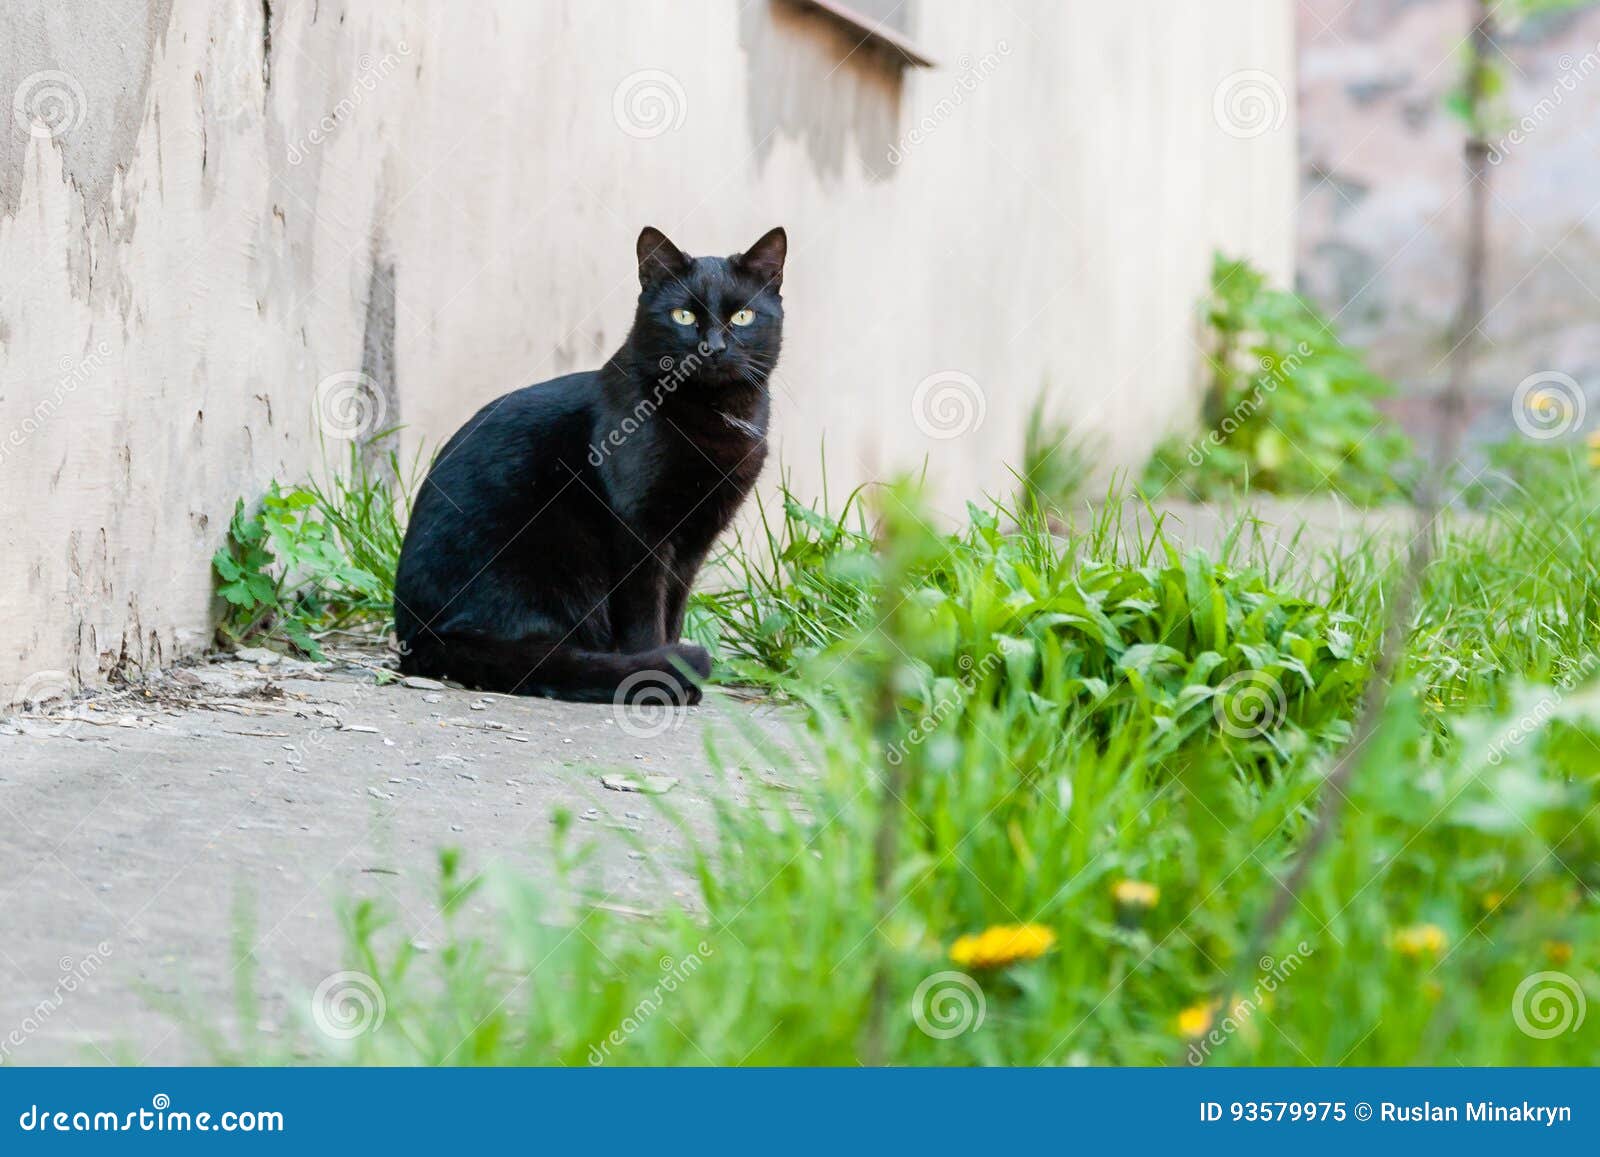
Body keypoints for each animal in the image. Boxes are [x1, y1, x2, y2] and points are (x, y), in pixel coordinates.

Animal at [390, 222, 784, 700]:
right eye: (683, 317)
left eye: (742, 316)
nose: (712, 347)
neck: (715, 412)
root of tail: (423, 637)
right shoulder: (640, 528)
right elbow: (646, 614)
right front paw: (658, 670)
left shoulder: (695, 539)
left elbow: (673, 607)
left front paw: (674, 666)